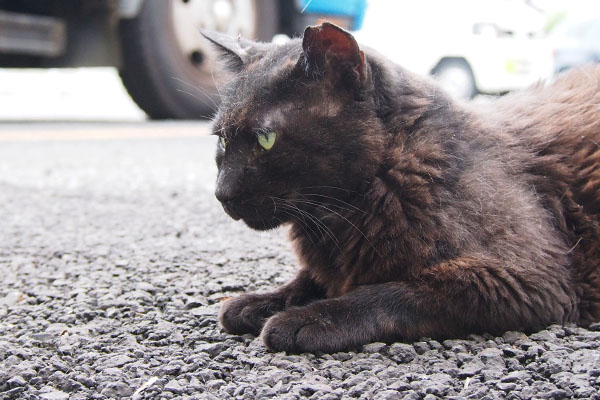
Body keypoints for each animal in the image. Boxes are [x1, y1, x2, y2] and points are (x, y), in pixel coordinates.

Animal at [203, 22, 600, 354]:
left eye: (265, 139)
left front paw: (310, 319)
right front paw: (261, 301)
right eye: (222, 140)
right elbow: (308, 280)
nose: (222, 193)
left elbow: (399, 293)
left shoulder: (531, 280)